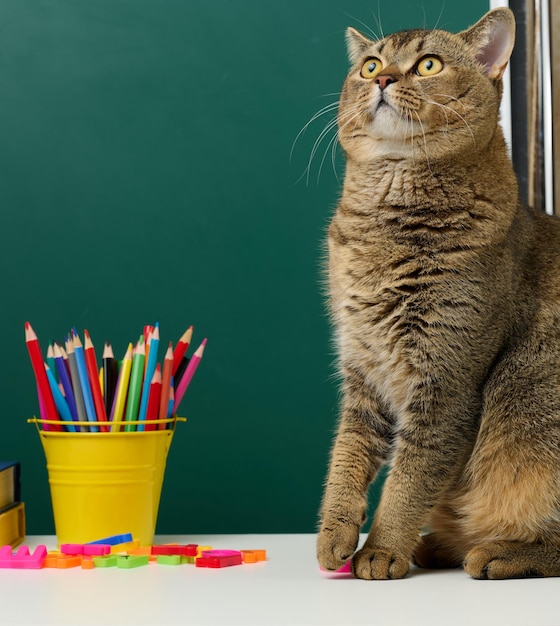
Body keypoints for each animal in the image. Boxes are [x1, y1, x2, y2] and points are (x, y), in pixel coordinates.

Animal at [318, 7, 560, 576]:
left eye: (428, 64)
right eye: (369, 65)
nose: (383, 80)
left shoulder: (447, 380)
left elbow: (411, 476)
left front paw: (382, 550)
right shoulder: (362, 368)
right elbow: (348, 452)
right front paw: (334, 534)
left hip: (533, 396)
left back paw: (496, 554)